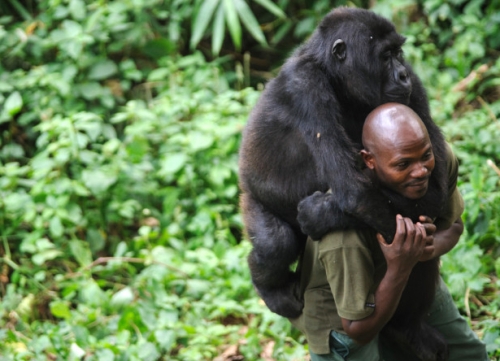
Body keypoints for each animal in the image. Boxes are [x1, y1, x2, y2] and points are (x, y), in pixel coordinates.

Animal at [238, 7, 450, 360]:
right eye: (385, 56)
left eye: (399, 53)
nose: (402, 75)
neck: (335, 76)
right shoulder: (305, 88)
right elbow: (357, 192)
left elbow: (436, 184)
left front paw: (319, 214)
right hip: (251, 197)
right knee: (274, 242)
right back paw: (270, 287)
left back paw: (406, 327)